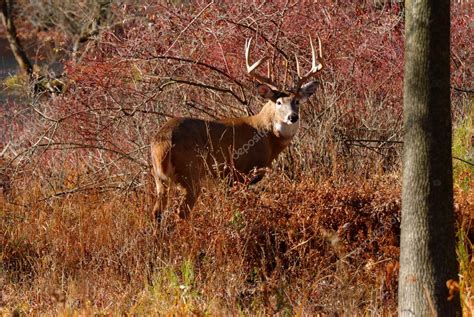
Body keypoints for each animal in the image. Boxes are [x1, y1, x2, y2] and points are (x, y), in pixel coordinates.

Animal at [150, 35, 324, 220]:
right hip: (191, 173)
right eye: (278, 102)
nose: (293, 117)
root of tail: (163, 141)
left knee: (157, 213)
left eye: (297, 101)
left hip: (160, 179)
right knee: (181, 212)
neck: (267, 136)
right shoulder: (240, 173)